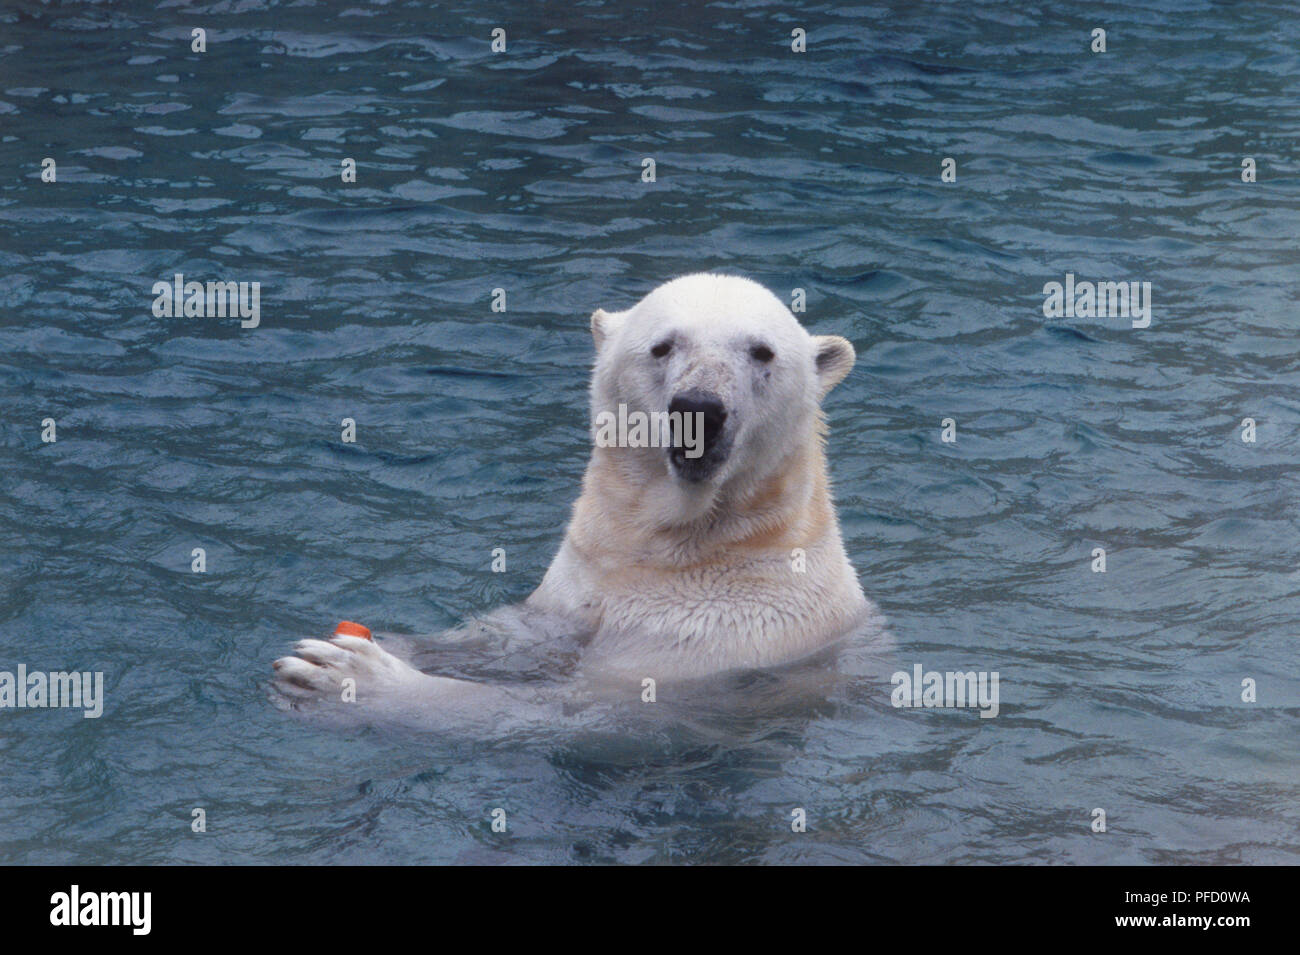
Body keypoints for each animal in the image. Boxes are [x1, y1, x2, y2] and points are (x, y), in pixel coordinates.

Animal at [279, 272, 878, 722]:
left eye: (762, 352)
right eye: (662, 346)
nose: (699, 408)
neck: (687, 546)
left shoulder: (729, 632)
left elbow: (563, 705)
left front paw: (352, 674)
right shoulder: (580, 582)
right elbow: (511, 632)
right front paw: (371, 641)